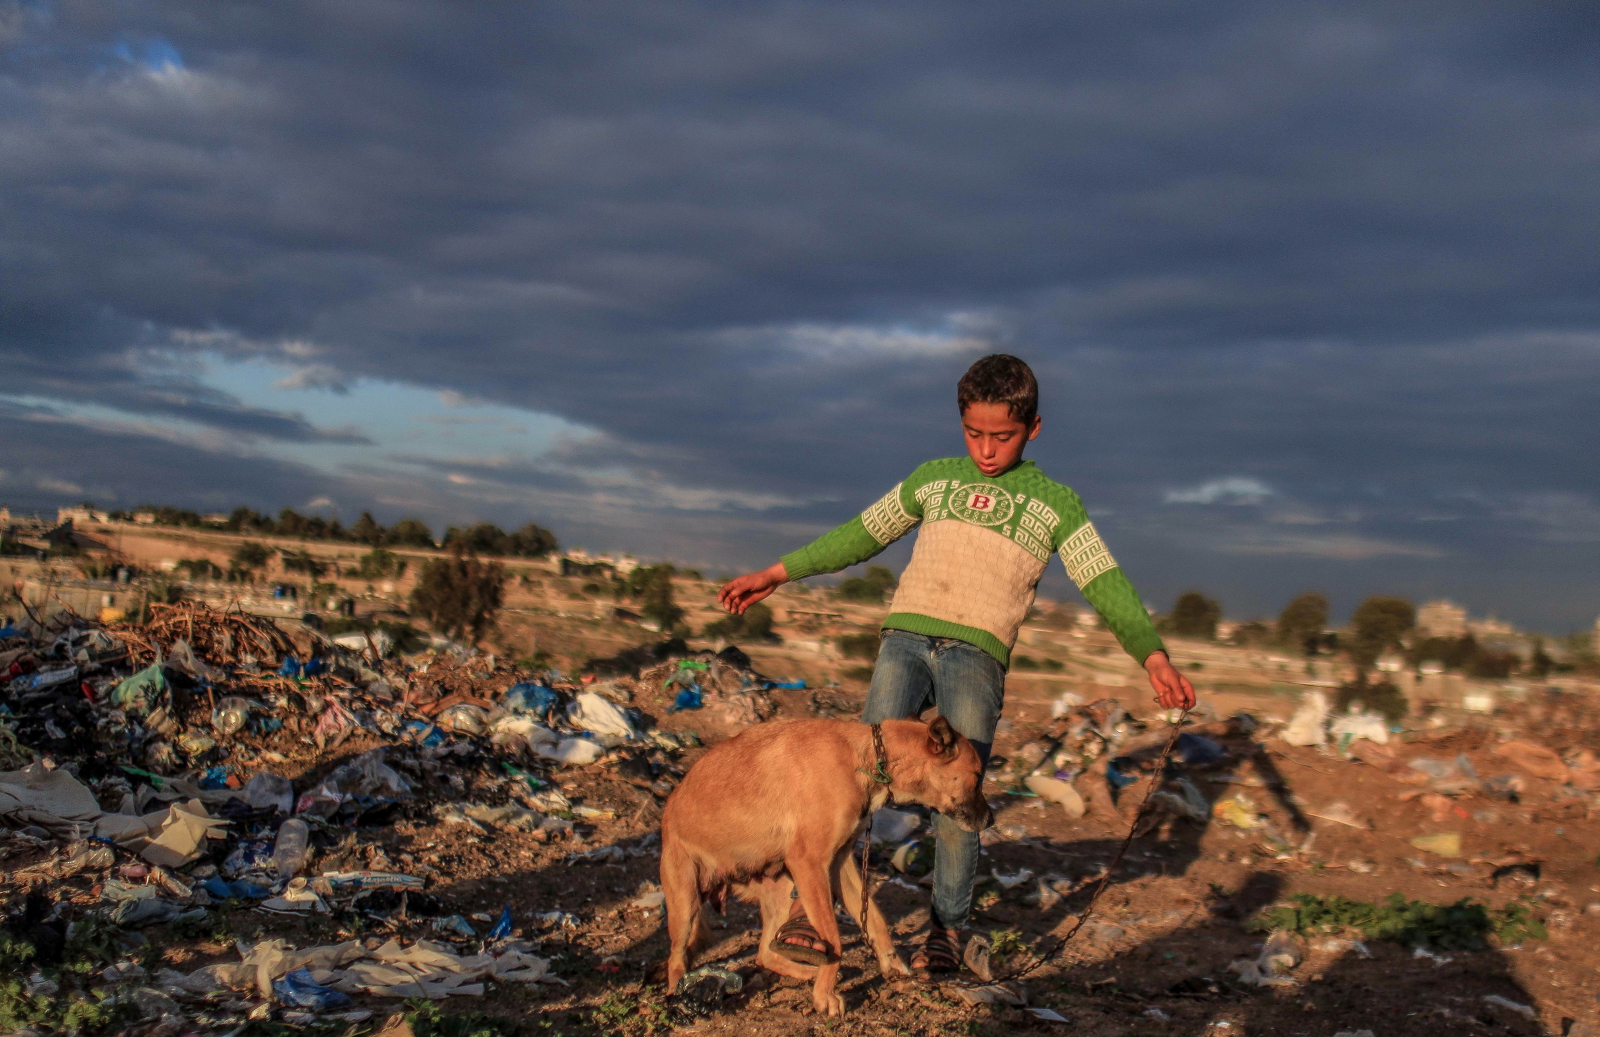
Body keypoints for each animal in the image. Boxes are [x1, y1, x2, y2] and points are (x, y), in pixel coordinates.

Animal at [659, 716, 985, 1017]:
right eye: (977, 775)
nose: (990, 818)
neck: (865, 758)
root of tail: (670, 808)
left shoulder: (840, 863)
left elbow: (876, 921)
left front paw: (894, 968)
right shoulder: (811, 864)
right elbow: (834, 939)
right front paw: (825, 996)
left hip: (781, 890)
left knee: (764, 954)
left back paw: (806, 972)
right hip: (686, 902)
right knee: (675, 958)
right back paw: (678, 993)